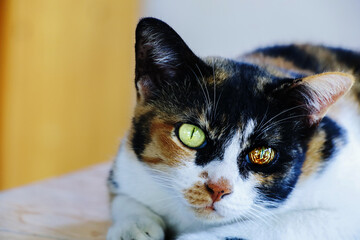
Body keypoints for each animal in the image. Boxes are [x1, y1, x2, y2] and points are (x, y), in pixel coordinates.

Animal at [106, 17, 360, 240]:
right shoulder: (125, 168)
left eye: (262, 154)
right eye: (191, 134)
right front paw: (134, 229)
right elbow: (122, 198)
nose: (218, 188)